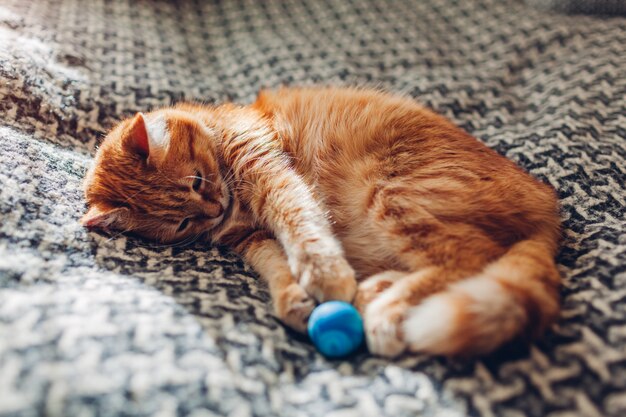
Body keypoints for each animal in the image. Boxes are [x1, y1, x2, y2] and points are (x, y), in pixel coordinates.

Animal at [80, 86, 560, 356]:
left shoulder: (270, 172)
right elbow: (277, 264)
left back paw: (388, 310)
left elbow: (301, 226)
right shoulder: (252, 239)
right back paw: (375, 292)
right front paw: (294, 297)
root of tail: (550, 208)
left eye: (196, 181)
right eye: (180, 225)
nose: (213, 210)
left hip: (392, 194)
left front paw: (324, 276)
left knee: (469, 256)